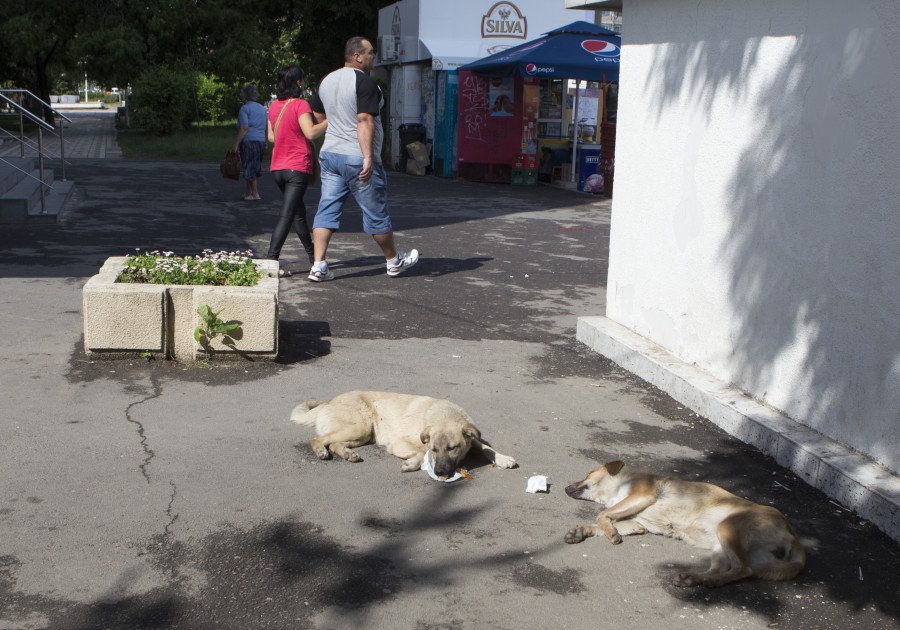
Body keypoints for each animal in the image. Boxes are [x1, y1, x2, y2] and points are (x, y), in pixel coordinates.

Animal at [292, 390, 516, 478]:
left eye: (452, 448)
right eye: (434, 449)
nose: (439, 472)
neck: (444, 414)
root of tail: (328, 402)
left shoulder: (472, 441)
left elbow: (487, 448)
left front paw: (503, 458)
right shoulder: (399, 443)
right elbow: (420, 453)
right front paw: (411, 464)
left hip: (362, 435)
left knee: (335, 443)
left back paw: (349, 454)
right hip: (359, 427)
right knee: (319, 439)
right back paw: (321, 451)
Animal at [564, 460, 808, 588]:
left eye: (588, 473)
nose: (565, 488)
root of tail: (793, 535)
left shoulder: (641, 495)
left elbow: (602, 514)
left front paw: (604, 529)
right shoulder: (637, 522)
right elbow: (605, 520)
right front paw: (583, 531)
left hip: (728, 527)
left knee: (743, 569)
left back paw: (705, 580)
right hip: (719, 547)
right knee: (725, 569)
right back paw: (696, 578)